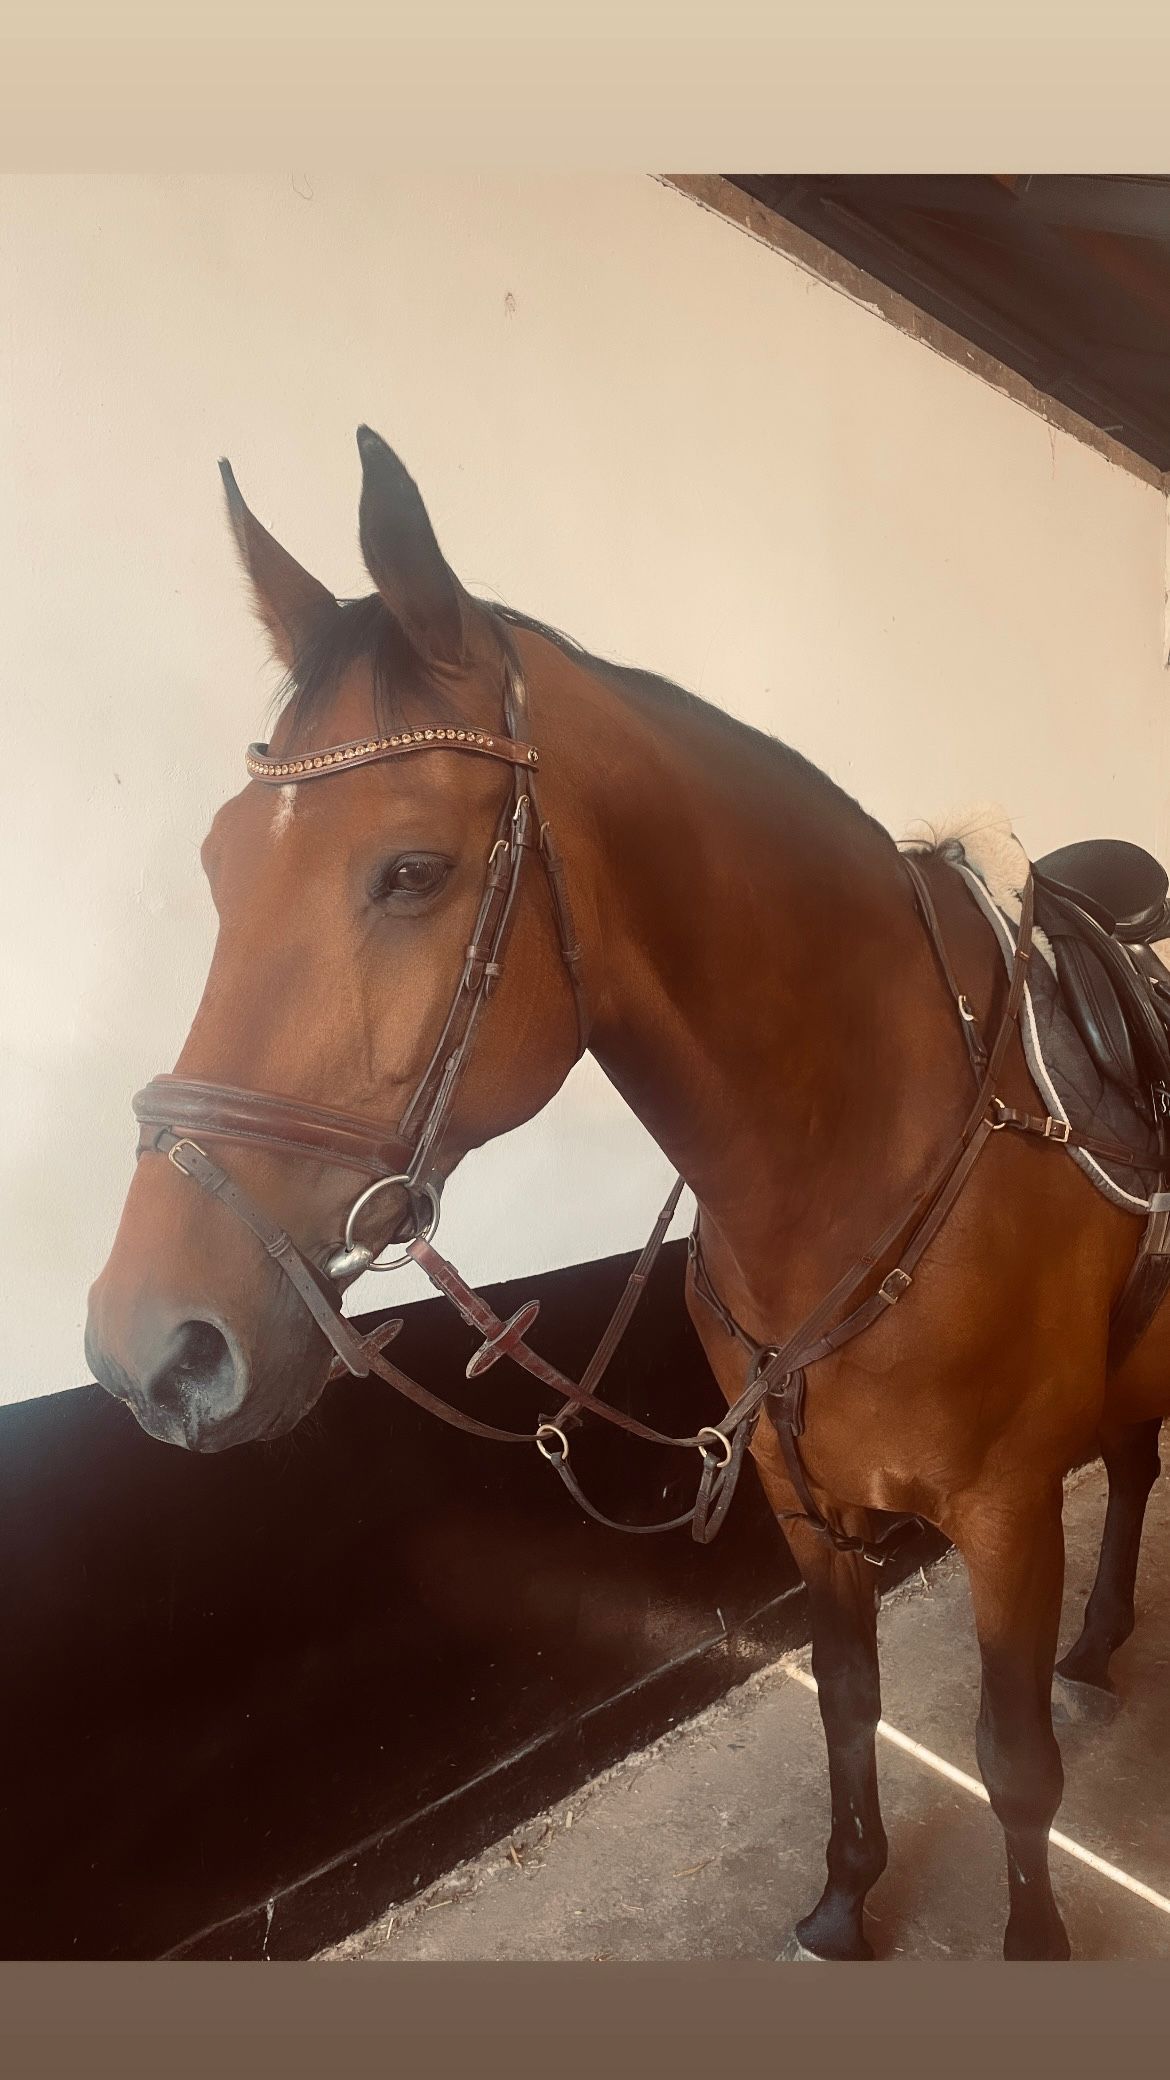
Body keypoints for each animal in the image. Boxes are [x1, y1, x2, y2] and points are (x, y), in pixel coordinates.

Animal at [85, 427, 1169, 1962]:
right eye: (218, 864)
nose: (153, 1350)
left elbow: (1014, 1764)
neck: (850, 1159)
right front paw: (844, 1896)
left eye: (411, 870)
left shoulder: (1010, 1512)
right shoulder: (797, 1500)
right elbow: (850, 1706)